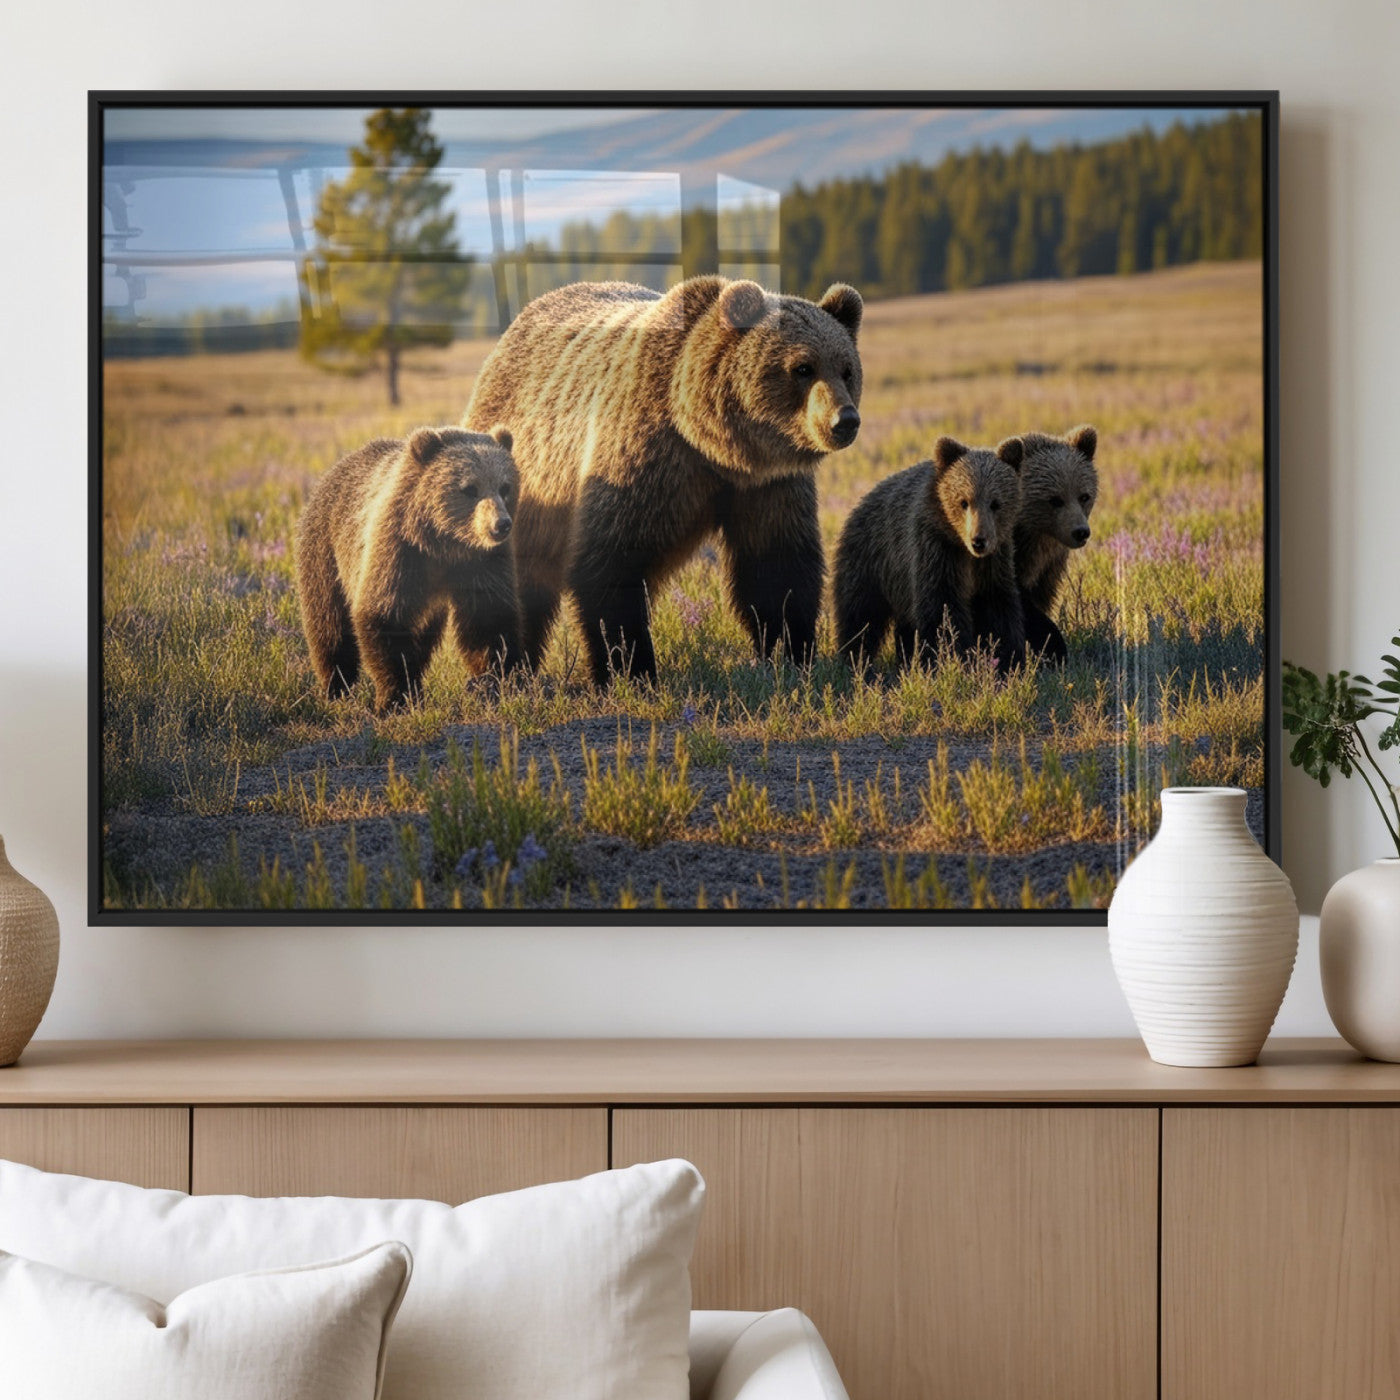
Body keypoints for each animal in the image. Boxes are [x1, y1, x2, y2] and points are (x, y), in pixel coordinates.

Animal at [295, 425, 521, 713]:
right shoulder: (400, 549)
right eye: (470, 488)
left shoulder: (482, 562)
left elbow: (488, 620)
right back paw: (336, 688)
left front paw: (498, 679)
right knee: (328, 623)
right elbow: (384, 614)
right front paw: (395, 696)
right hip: (325, 551)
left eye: (505, 487)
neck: (445, 543)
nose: (501, 524)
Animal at [461, 275, 864, 685]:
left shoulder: (767, 485)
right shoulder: (644, 460)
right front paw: (630, 669)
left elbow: (776, 568)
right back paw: (501, 668)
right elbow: (611, 563)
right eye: (803, 368)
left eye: (847, 369)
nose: (845, 420)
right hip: (519, 490)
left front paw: (792, 656)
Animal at [834, 435, 1026, 671]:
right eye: (964, 501)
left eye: (995, 503)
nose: (979, 541)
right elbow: (942, 609)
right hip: (870, 560)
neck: (962, 548)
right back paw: (856, 659)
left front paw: (1009, 659)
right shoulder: (935, 550)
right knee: (860, 614)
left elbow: (998, 609)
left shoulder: (994, 563)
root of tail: (861, 501)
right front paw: (951, 658)